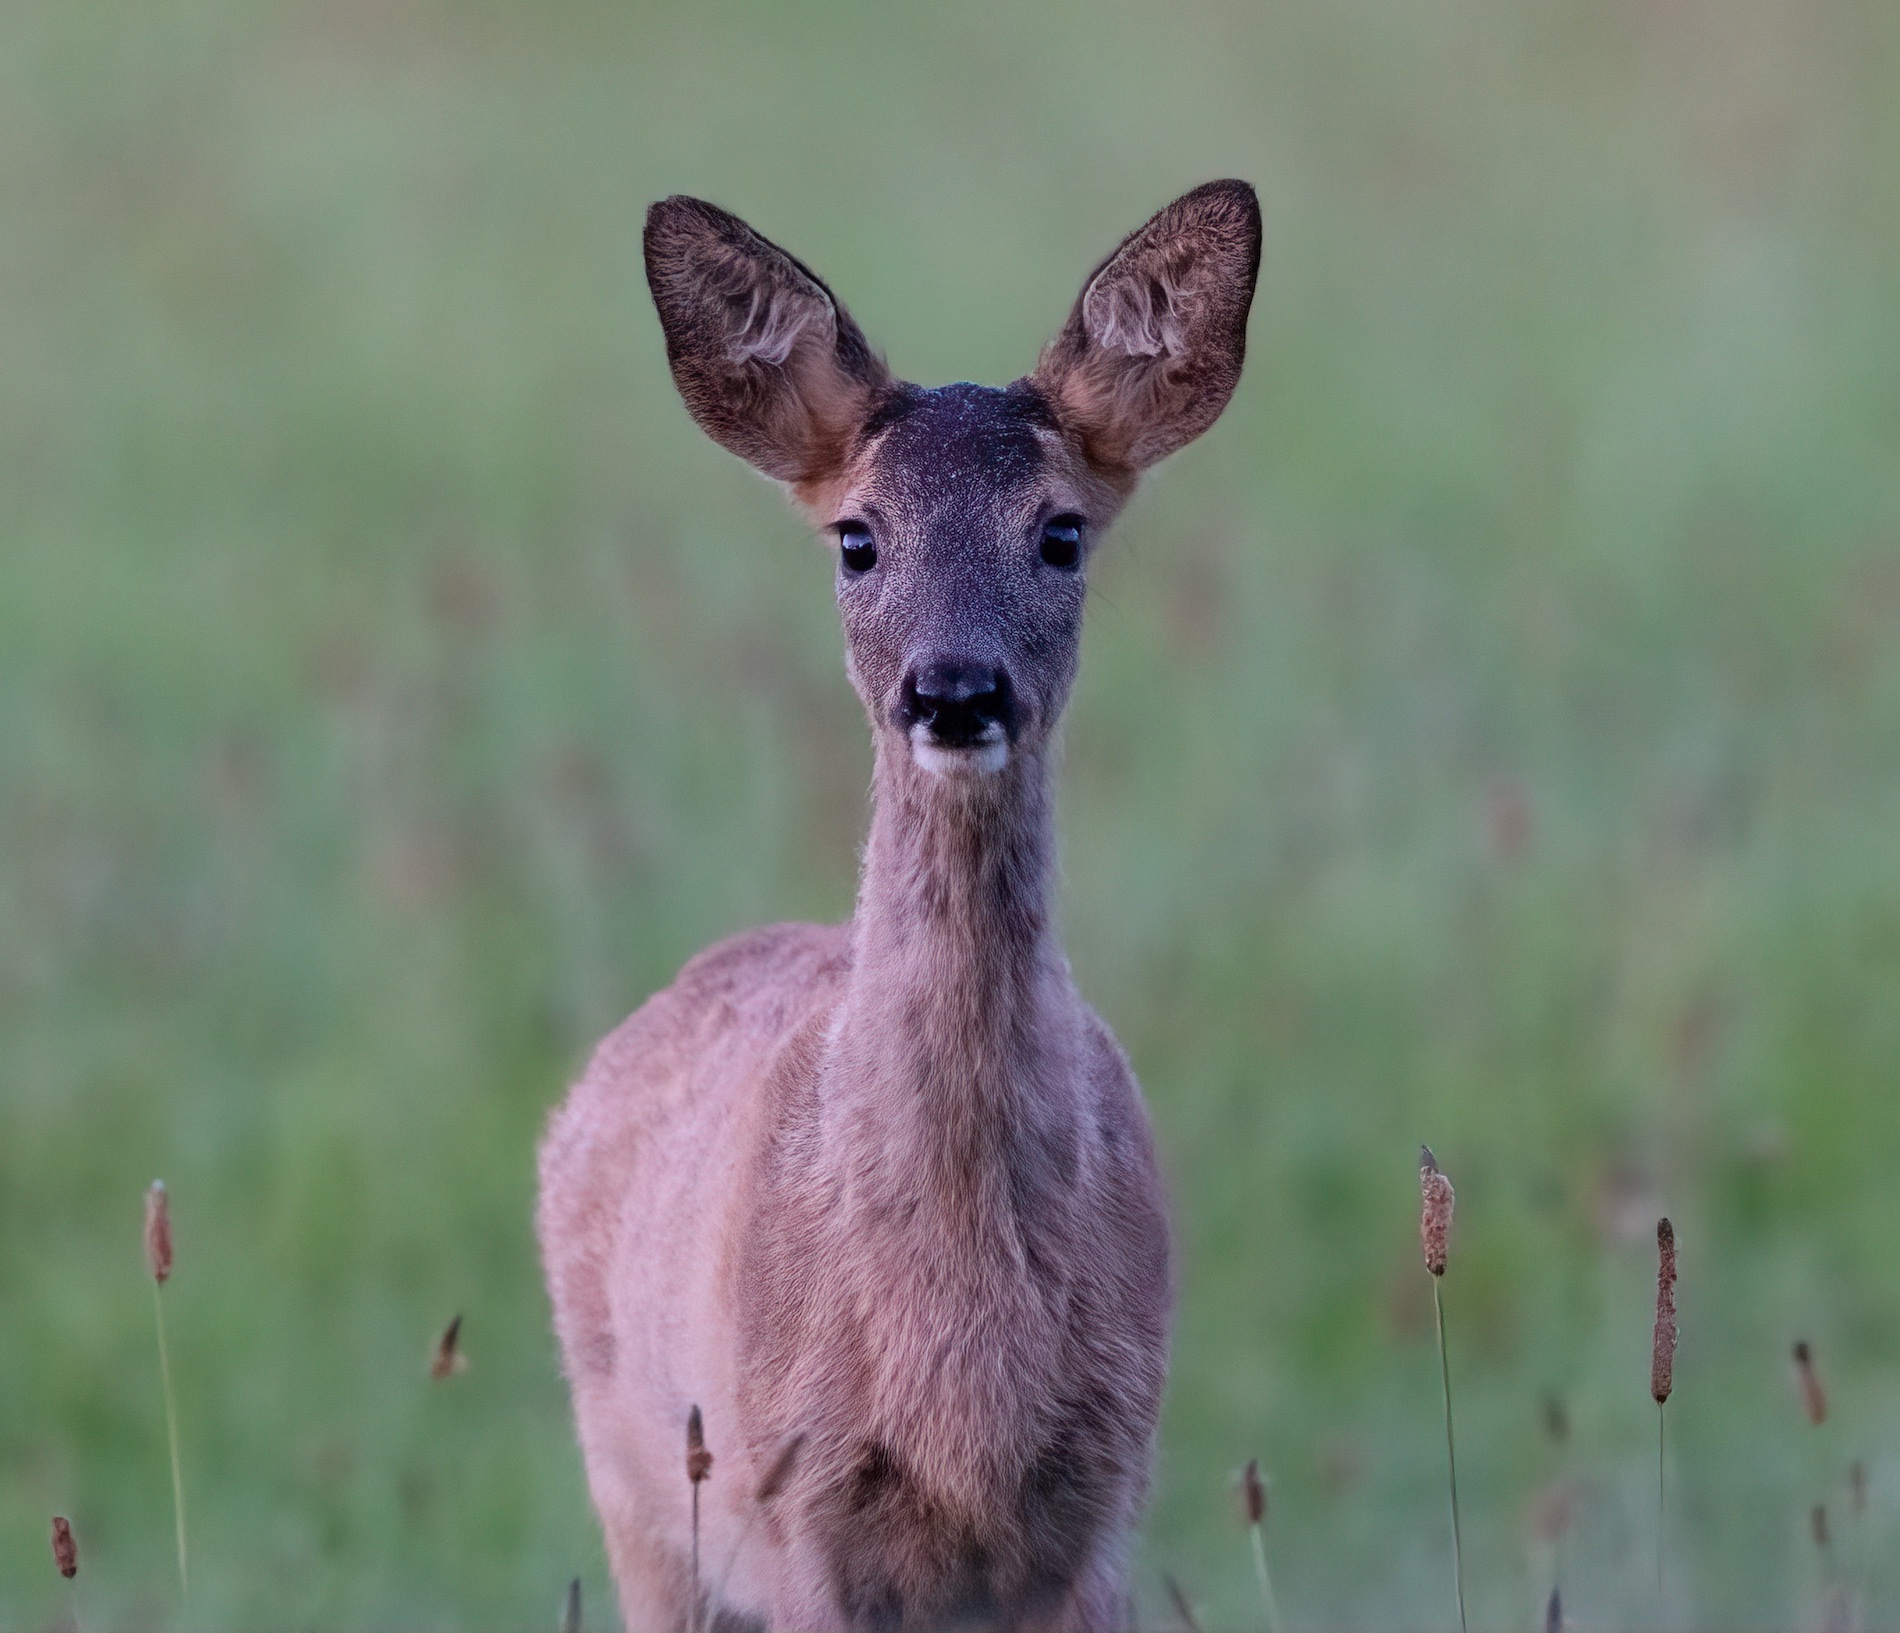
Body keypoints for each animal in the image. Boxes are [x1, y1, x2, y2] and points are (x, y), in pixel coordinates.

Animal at [539, 181, 1261, 1633]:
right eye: (857, 538)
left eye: (1059, 533)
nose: (955, 688)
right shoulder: (794, 1498)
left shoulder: (1102, 1500)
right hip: (646, 1499)